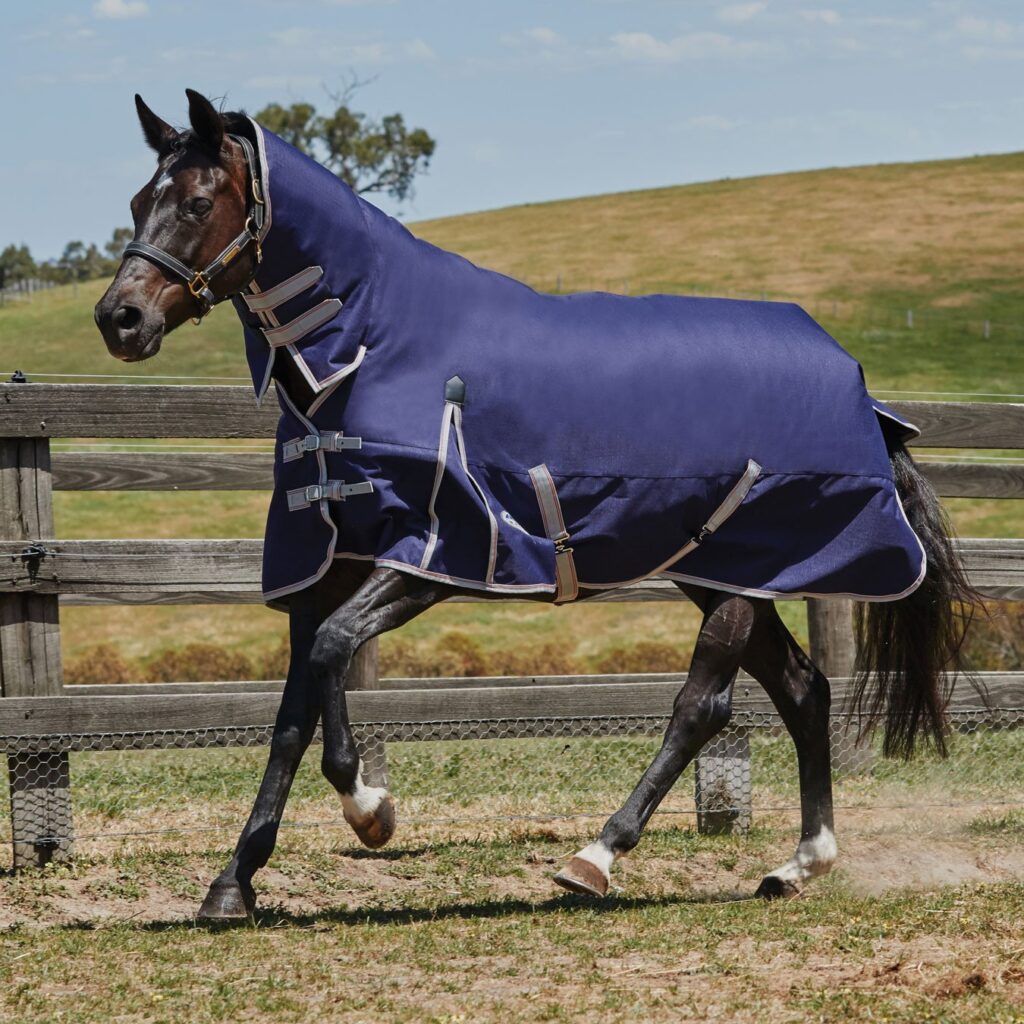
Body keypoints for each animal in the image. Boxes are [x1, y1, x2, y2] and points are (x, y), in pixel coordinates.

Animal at [92, 90, 970, 921]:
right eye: (137, 200)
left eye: (198, 203)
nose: (119, 319)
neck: (372, 349)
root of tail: (856, 383)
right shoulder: (328, 564)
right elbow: (294, 707)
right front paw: (233, 883)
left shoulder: (436, 555)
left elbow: (334, 658)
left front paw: (371, 809)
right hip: (723, 570)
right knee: (802, 689)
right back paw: (799, 864)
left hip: (748, 575)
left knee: (705, 704)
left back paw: (597, 857)